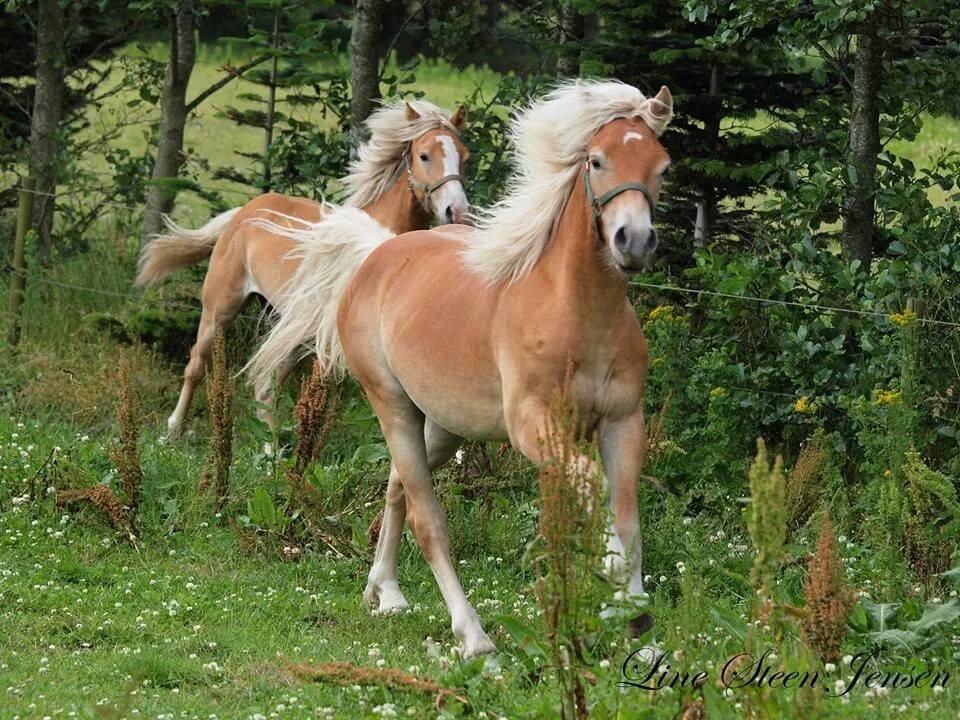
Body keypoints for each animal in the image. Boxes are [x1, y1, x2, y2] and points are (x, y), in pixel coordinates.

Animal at [133, 101, 470, 438]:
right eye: (424, 155)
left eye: (465, 156)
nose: (456, 211)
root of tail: (245, 211)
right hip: (221, 308)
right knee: (198, 366)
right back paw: (174, 431)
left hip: (282, 319)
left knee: (266, 385)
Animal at [338, 80, 676, 660]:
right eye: (596, 160)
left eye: (661, 165)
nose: (633, 241)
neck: (578, 315)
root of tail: (379, 256)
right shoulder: (534, 427)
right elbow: (594, 493)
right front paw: (613, 582)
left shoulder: (622, 423)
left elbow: (629, 524)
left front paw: (638, 629)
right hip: (393, 406)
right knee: (428, 518)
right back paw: (473, 637)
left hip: (444, 427)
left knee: (398, 485)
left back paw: (385, 591)